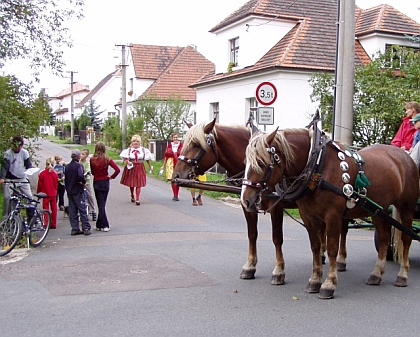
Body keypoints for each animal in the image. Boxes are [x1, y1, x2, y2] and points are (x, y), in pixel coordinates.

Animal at [172, 118, 304, 284]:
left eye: (196, 144)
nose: (176, 175)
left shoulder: (276, 207)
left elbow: (277, 238)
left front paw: (279, 271)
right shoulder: (247, 205)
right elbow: (252, 234)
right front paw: (249, 266)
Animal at [241, 127, 418, 298]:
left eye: (260, 163)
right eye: (245, 162)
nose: (246, 200)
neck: (318, 167)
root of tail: (404, 156)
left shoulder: (333, 216)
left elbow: (332, 248)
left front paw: (329, 284)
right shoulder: (308, 215)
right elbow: (315, 246)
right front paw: (314, 280)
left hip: (406, 208)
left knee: (406, 238)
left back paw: (402, 275)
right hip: (378, 210)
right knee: (383, 238)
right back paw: (376, 274)